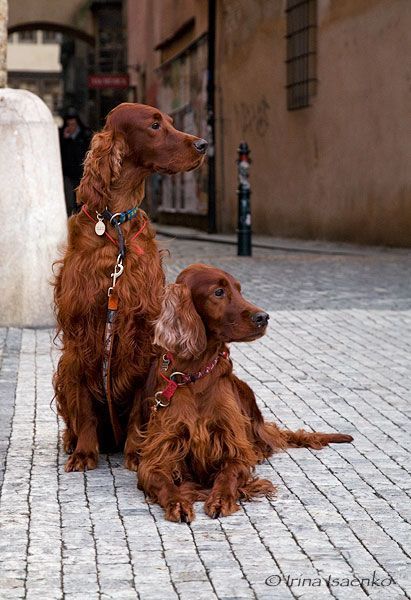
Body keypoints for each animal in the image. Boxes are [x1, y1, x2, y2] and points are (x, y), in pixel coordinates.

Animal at [53, 104, 208, 474]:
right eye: (154, 125)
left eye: (170, 122)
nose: (203, 145)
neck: (116, 225)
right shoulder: (80, 336)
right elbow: (83, 406)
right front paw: (85, 452)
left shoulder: (144, 335)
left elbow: (141, 406)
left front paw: (137, 453)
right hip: (62, 368)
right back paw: (74, 442)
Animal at [127, 264, 352, 524]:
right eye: (219, 292)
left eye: (239, 290)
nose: (263, 317)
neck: (196, 375)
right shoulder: (159, 454)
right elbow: (163, 482)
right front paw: (178, 502)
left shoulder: (234, 449)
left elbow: (229, 475)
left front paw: (220, 499)